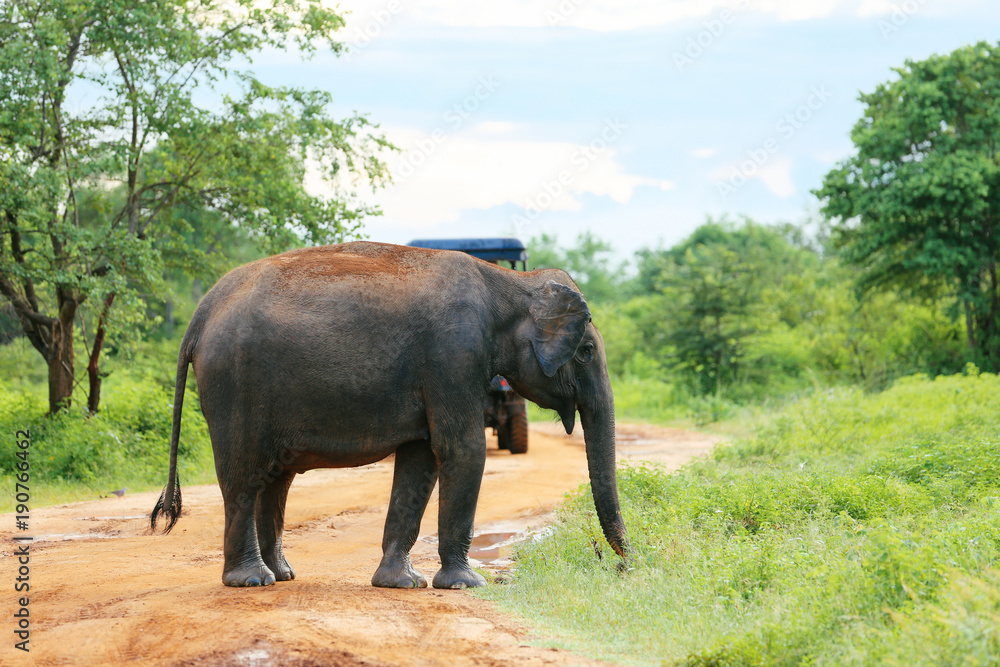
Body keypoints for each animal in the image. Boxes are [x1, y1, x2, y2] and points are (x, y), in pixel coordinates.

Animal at [151, 241, 630, 589]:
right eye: (586, 352)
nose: (624, 566)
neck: (510, 282)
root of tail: (201, 313)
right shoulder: (454, 354)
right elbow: (463, 451)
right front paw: (466, 584)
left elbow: (421, 460)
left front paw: (403, 583)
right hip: (235, 383)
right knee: (244, 473)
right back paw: (252, 580)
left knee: (275, 478)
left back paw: (283, 575)